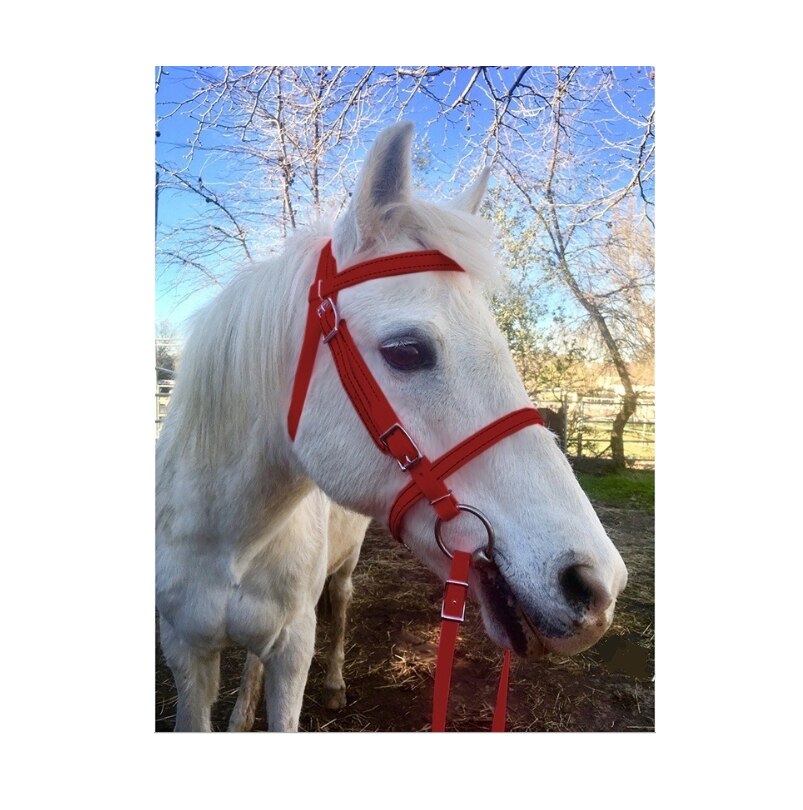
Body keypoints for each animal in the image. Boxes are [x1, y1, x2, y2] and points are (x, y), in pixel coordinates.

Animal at [156, 121, 628, 732]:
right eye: (407, 351)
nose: (597, 584)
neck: (230, 538)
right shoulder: (184, 653)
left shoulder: (293, 648)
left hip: (341, 574)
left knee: (339, 606)